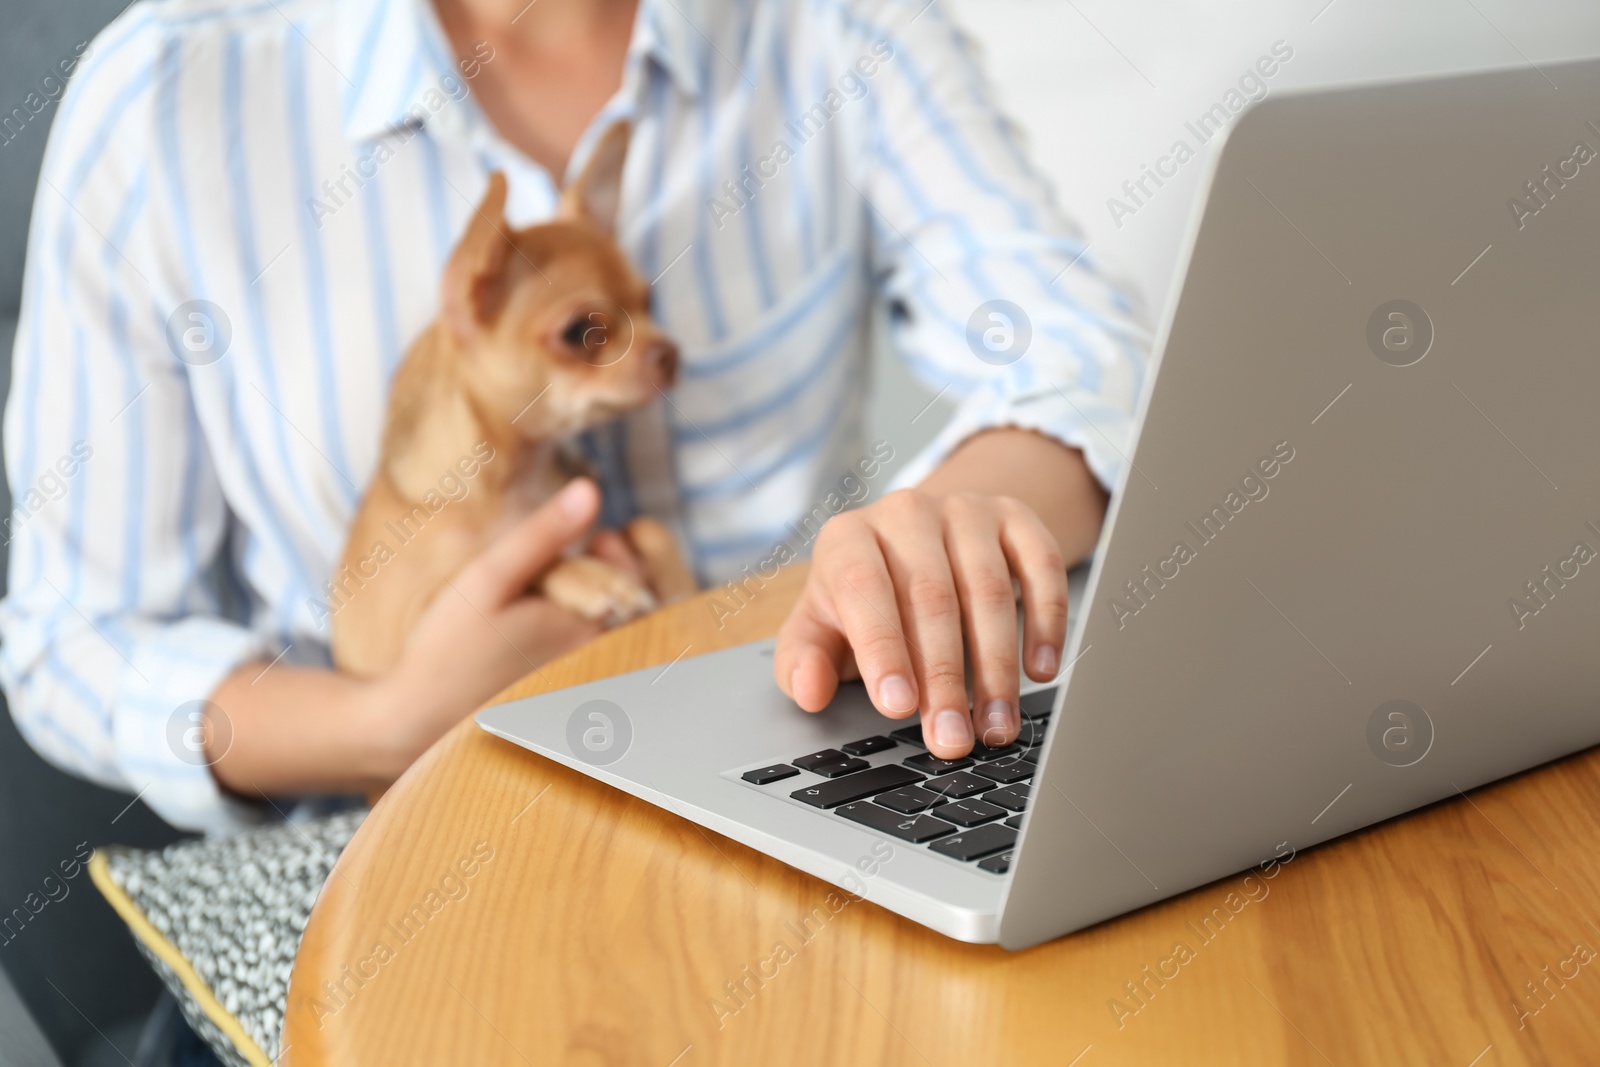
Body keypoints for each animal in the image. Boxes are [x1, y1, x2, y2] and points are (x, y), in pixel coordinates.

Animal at [329, 123, 694, 675]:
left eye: (648, 303)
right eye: (581, 333)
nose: (670, 353)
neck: (521, 480)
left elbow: (648, 524)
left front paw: (681, 584)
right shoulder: (422, 618)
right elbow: (535, 559)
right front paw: (601, 581)